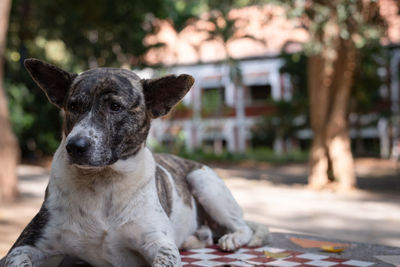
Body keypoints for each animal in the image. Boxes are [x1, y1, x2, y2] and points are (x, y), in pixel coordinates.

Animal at [3, 59, 268, 267]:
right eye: (73, 106)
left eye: (115, 106)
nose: (75, 146)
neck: (103, 181)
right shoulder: (26, 245)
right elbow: (19, 258)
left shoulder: (160, 245)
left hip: (203, 181)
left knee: (241, 226)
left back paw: (232, 238)